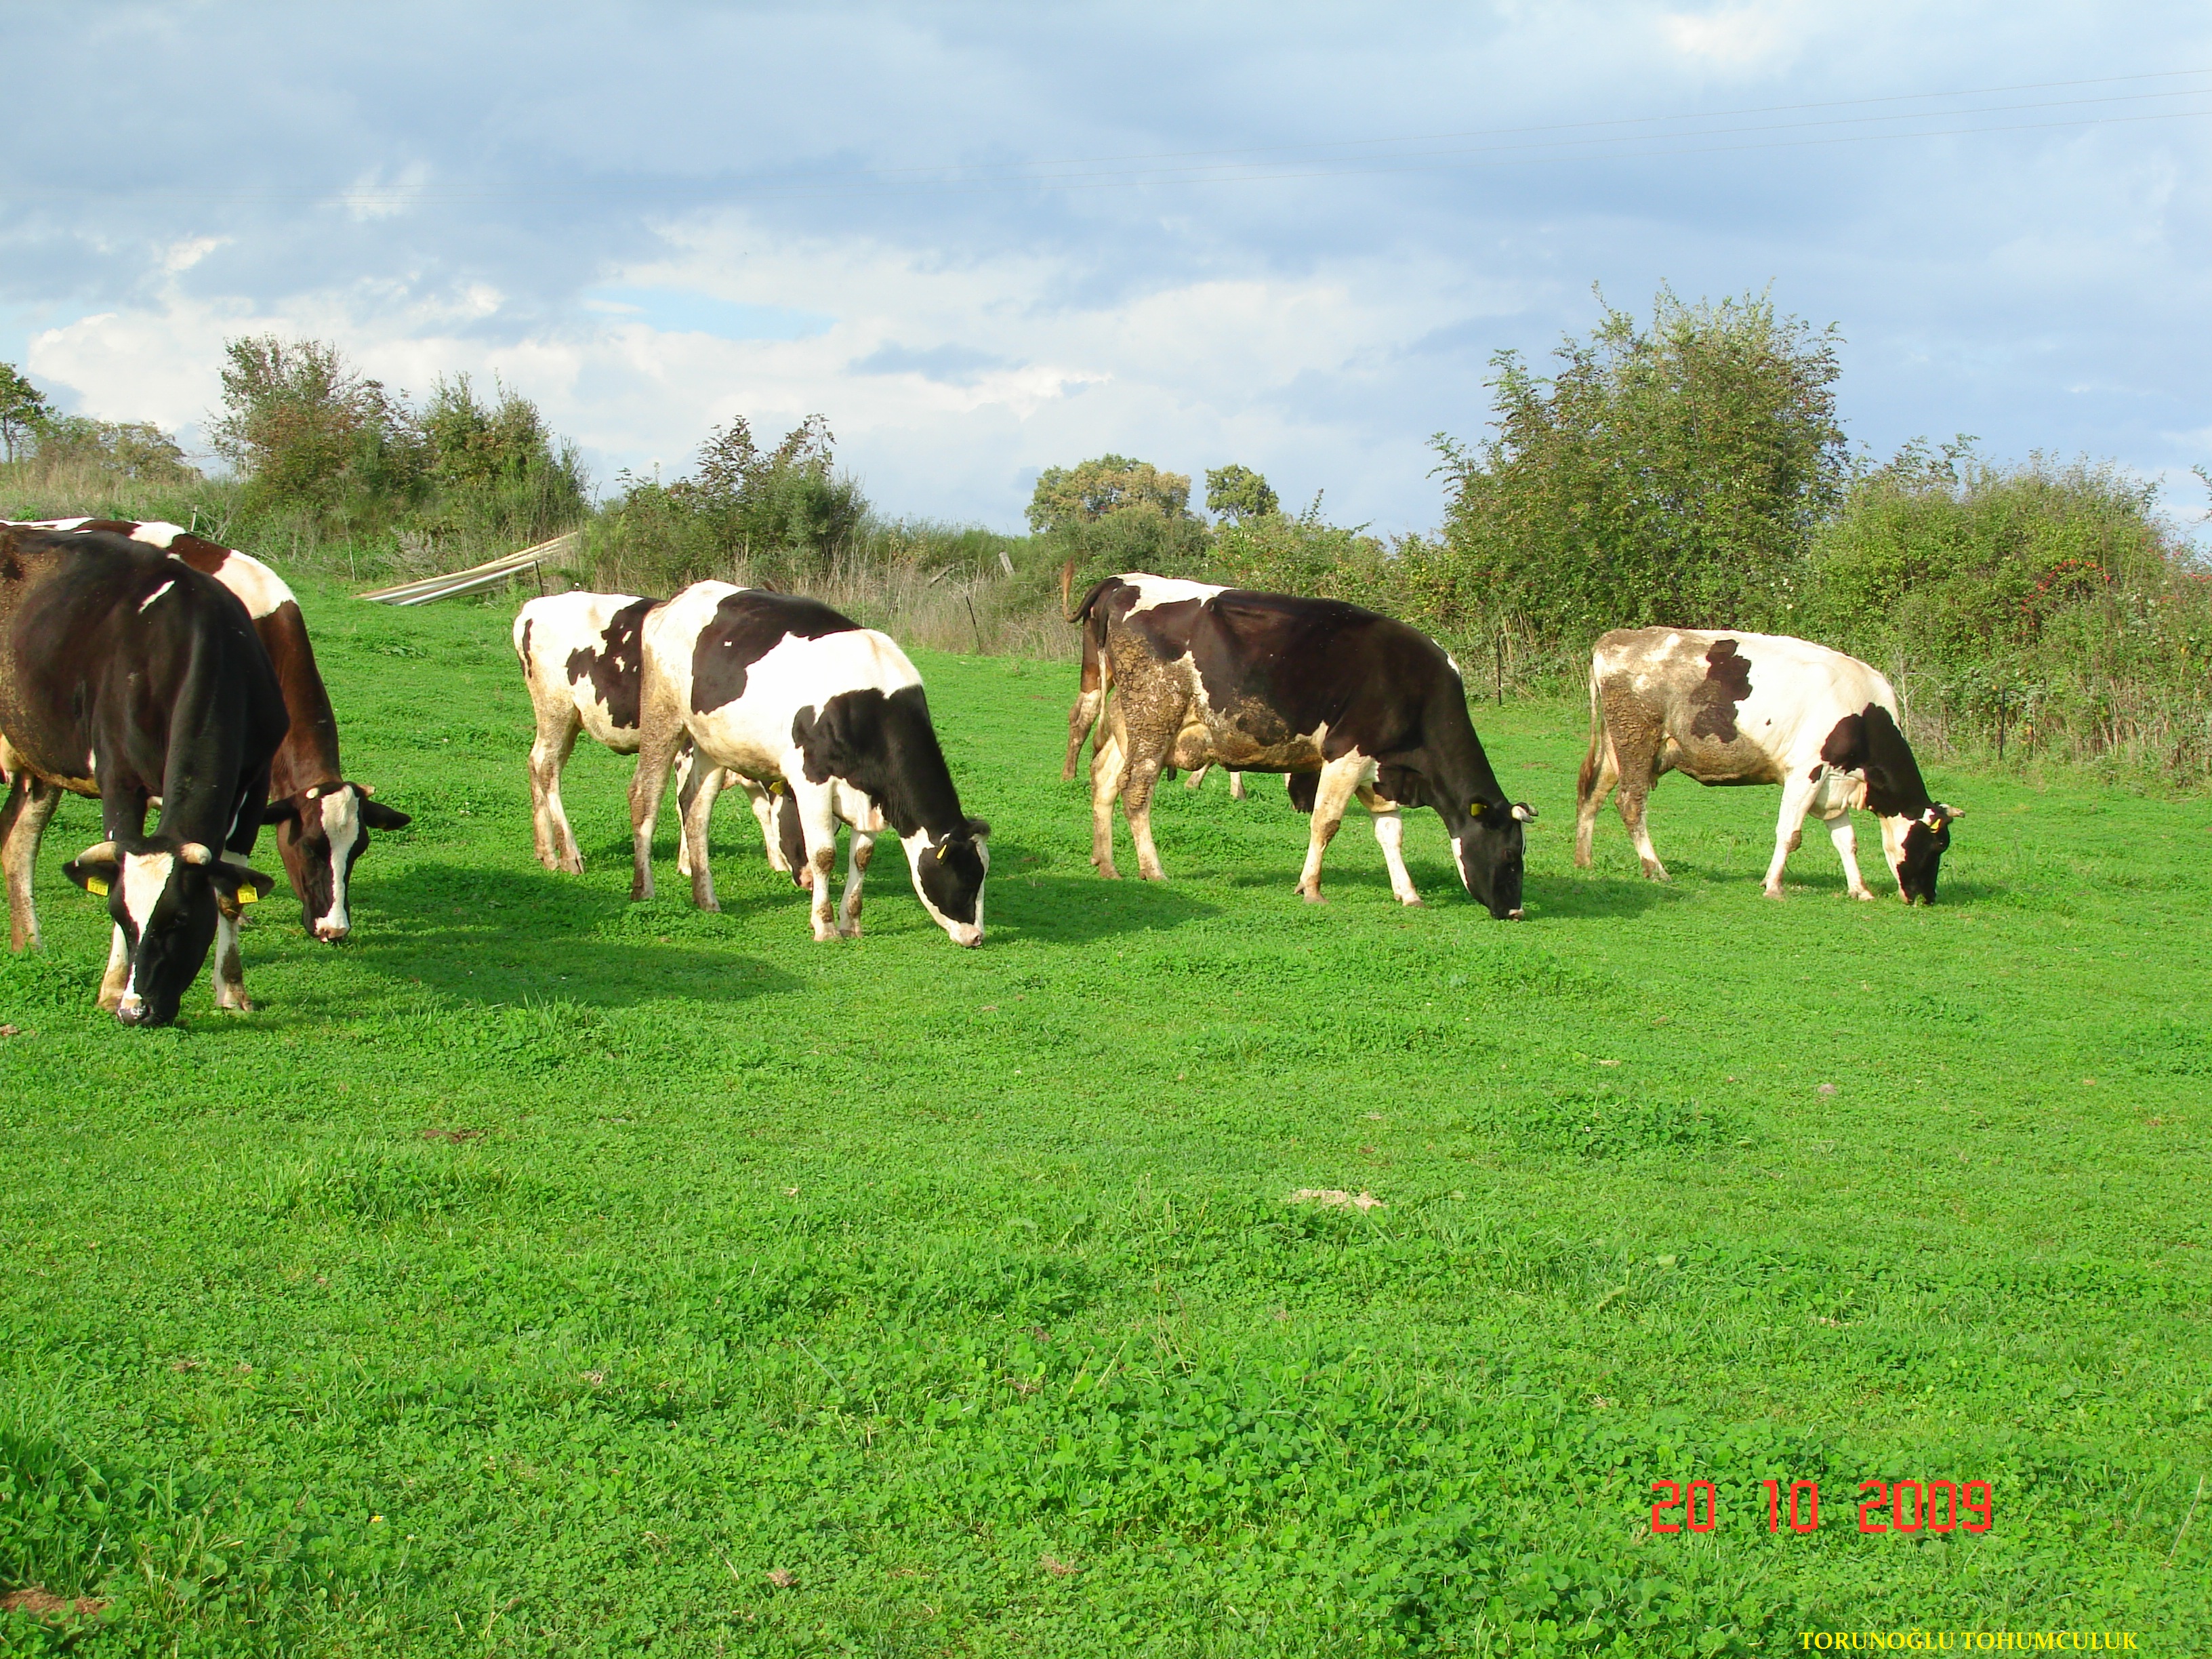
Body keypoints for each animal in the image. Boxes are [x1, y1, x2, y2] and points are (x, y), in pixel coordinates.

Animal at [0, 529, 285, 1026]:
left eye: (180, 920)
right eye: (121, 916)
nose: (137, 1011)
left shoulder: (255, 779)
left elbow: (230, 894)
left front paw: (232, 991)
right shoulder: (119, 777)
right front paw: (112, 988)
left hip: (37, 761)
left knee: (16, 842)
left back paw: (29, 944)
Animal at [632, 583, 995, 946]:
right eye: (966, 878)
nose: (977, 936)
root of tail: (679, 598)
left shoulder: (868, 795)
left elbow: (862, 857)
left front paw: (852, 922)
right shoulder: (812, 780)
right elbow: (823, 855)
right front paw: (825, 925)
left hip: (711, 743)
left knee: (695, 809)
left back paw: (706, 899)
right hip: (662, 716)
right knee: (644, 798)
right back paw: (644, 890)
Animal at [1061, 575, 1530, 916]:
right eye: (1511, 854)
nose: (1516, 912)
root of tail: (1122, 582)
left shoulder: (1377, 770)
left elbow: (1391, 833)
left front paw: (1409, 893)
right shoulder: (1346, 754)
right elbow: (1326, 823)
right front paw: (1312, 888)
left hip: (1131, 723)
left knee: (1104, 780)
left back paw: (1107, 865)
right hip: (1156, 716)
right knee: (1136, 792)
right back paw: (1153, 869)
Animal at [1574, 628, 1973, 911]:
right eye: (1939, 844)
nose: (1928, 898)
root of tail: (1617, 637)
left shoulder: (1833, 784)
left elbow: (1847, 841)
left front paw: (1859, 890)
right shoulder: (1807, 772)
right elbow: (1790, 834)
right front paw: (1774, 886)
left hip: (1618, 747)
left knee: (1591, 795)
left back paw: (1584, 860)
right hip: (1637, 738)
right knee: (1631, 803)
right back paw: (1655, 868)